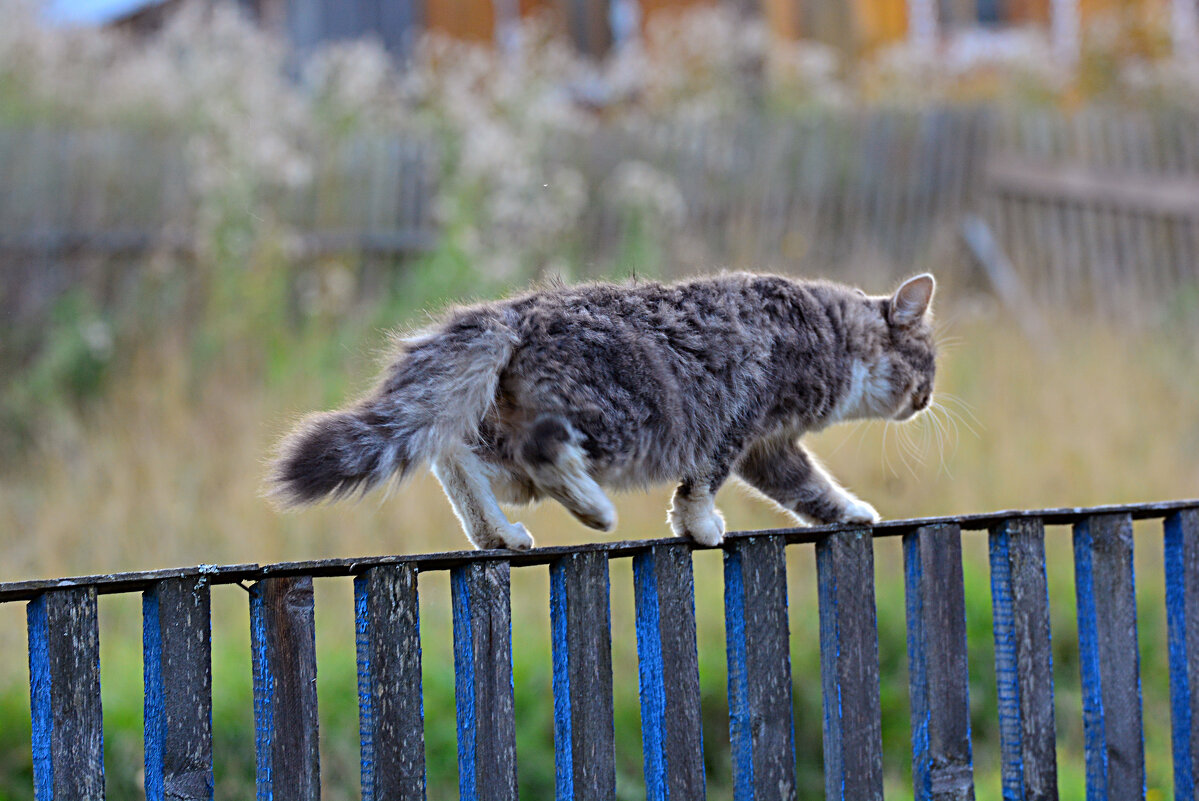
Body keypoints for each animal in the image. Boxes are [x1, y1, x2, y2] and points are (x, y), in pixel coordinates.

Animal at [272, 270, 935, 551]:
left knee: (458, 458)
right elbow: (702, 484)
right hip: (618, 424)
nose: (928, 397)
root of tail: (510, 311)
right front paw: (699, 526)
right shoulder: (740, 422)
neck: (831, 333)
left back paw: (497, 532)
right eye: (927, 362)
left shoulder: (770, 448)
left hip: (505, 437)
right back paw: (595, 511)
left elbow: (810, 489)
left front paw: (851, 512)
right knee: (542, 452)